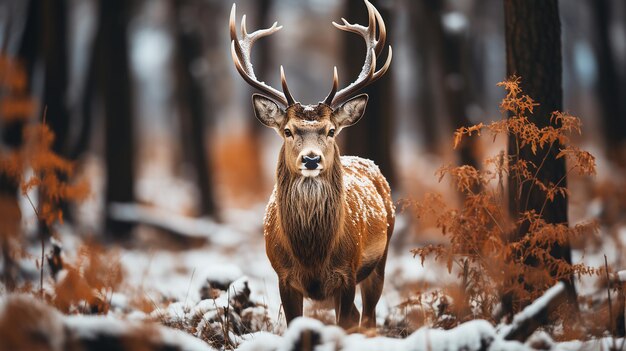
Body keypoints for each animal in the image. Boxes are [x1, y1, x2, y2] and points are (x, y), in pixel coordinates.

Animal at [229, 0, 392, 330]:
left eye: (330, 131)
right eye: (288, 131)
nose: (312, 158)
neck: (312, 255)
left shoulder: (347, 273)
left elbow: (345, 324)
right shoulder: (283, 276)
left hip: (381, 257)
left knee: (368, 317)